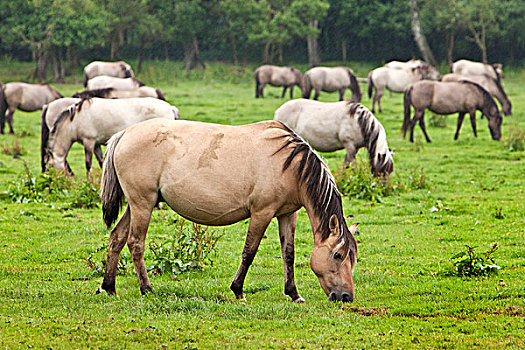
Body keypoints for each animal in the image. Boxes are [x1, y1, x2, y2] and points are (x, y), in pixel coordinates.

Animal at [45, 96, 180, 176]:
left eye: (50, 166)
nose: (50, 184)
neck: (75, 120)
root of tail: (170, 108)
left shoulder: (89, 142)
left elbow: (88, 164)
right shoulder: (96, 145)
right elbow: (101, 162)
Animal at [100, 119, 358, 302]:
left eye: (352, 258)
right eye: (337, 255)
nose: (346, 297)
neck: (289, 165)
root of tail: (124, 134)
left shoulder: (287, 214)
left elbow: (289, 254)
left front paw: (293, 294)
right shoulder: (262, 213)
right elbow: (249, 252)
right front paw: (238, 290)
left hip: (136, 205)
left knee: (117, 238)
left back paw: (109, 287)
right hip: (142, 204)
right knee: (135, 243)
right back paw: (146, 288)